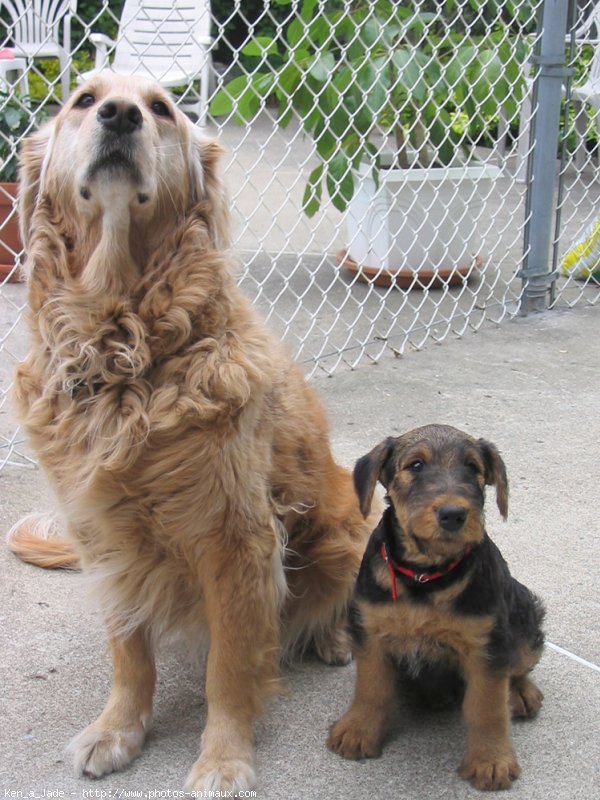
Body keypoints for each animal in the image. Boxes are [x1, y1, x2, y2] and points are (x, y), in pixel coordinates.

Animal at [9, 73, 372, 788]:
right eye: (84, 101)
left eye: (161, 109)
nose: (120, 116)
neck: (125, 356)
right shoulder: (104, 534)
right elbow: (129, 652)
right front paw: (118, 729)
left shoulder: (238, 541)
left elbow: (227, 669)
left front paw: (224, 759)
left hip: (349, 526)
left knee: (340, 597)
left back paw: (334, 638)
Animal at [326, 422, 548, 792]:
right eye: (416, 465)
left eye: (473, 468)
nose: (453, 514)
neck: (425, 574)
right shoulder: (371, 632)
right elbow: (371, 688)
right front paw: (358, 731)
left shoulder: (485, 646)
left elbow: (487, 708)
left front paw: (491, 761)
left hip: (525, 613)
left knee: (518, 666)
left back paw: (521, 693)